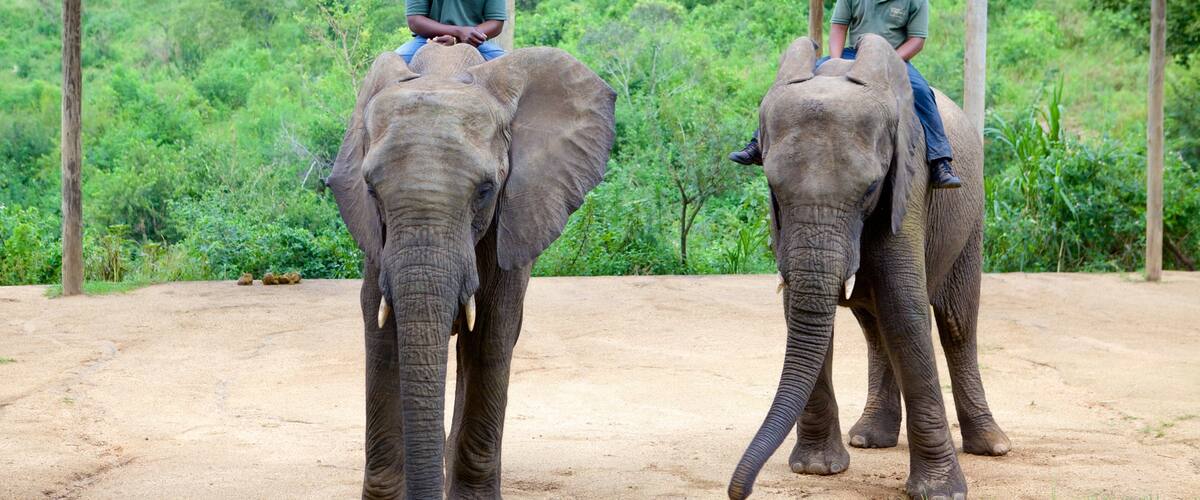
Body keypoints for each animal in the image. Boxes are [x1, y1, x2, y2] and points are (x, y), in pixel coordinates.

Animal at [326, 43, 615, 499]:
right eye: (371, 189)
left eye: (485, 190)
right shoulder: (376, 242)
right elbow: (382, 337)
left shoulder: (511, 222)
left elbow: (491, 337)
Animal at [727, 35, 1009, 499]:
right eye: (772, 186)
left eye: (871, 188)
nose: (741, 491)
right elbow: (803, 309)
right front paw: (817, 469)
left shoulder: (909, 186)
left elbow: (905, 310)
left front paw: (941, 492)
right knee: (875, 327)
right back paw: (869, 438)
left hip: (972, 214)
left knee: (956, 325)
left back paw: (992, 446)